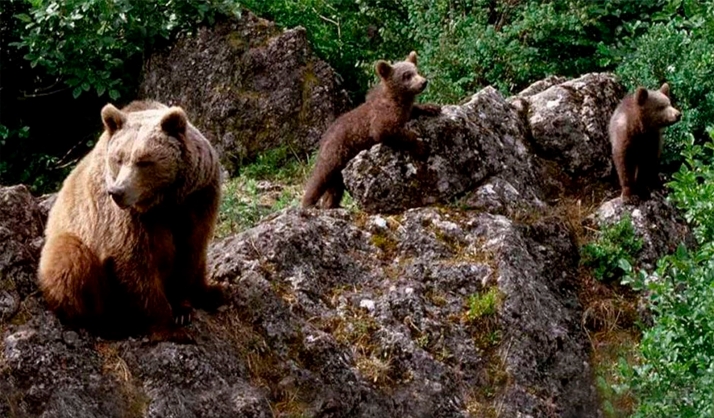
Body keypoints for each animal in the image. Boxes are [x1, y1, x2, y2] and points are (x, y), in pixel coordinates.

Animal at [38, 100, 225, 343]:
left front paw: (182, 309)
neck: (164, 201)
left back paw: (213, 292)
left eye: (144, 161)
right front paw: (170, 327)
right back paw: (107, 324)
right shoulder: (128, 220)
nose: (117, 192)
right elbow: (136, 263)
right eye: (118, 159)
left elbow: (190, 250)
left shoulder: (197, 199)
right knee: (69, 259)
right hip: (75, 242)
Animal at [301, 51, 441, 209]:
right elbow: (386, 130)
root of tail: (323, 139)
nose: (423, 82)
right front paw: (421, 146)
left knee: (335, 187)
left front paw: (432, 107)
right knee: (320, 178)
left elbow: (413, 111)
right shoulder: (382, 117)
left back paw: (332, 205)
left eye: (417, 70)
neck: (396, 99)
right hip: (335, 153)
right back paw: (308, 204)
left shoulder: (403, 111)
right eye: (407, 75)